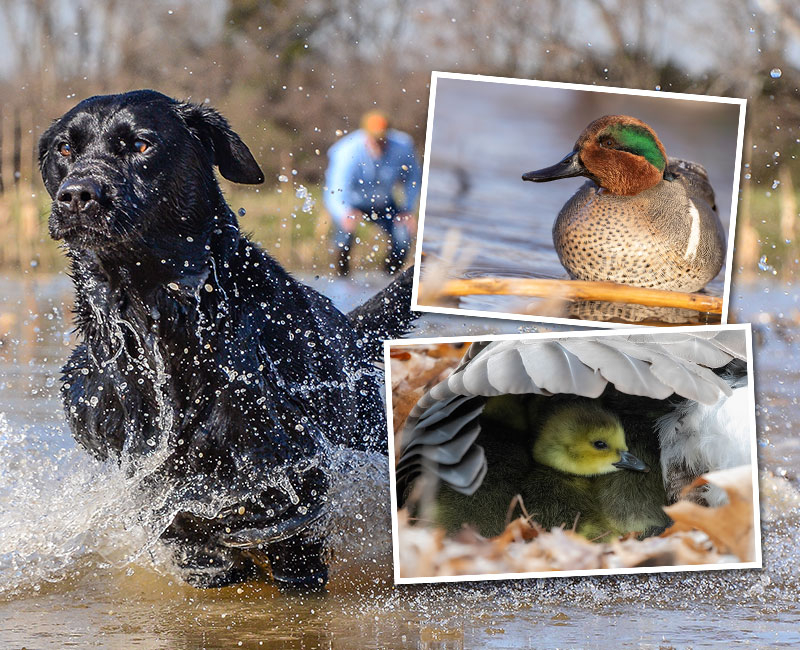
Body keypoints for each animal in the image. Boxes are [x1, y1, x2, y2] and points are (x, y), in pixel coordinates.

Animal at [38, 88, 416, 584]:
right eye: (65, 149)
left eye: (141, 144)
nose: (77, 195)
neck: (156, 315)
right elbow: (191, 534)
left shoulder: (290, 473)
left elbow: (286, 530)